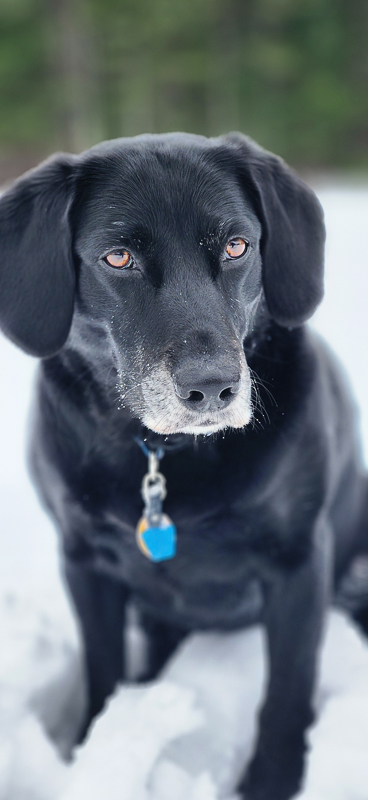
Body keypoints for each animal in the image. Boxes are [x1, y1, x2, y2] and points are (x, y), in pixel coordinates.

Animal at [0, 131, 368, 800]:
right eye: (119, 257)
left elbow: (287, 688)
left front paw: (272, 782)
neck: (162, 456)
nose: (213, 388)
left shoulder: (300, 560)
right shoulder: (84, 559)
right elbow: (103, 668)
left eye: (236, 245)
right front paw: (93, 750)